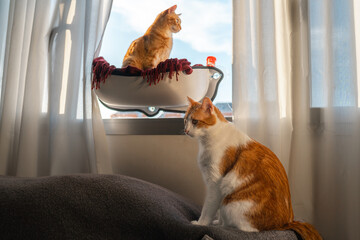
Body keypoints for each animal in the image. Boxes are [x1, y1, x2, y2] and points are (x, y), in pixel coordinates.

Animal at [184, 97, 322, 240]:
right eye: (185, 121)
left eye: (194, 121)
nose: (186, 130)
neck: (207, 140)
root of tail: (286, 223)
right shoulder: (218, 190)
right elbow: (218, 212)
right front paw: (217, 222)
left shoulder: (215, 185)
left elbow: (208, 208)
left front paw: (201, 223)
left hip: (231, 205)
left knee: (247, 229)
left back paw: (226, 226)